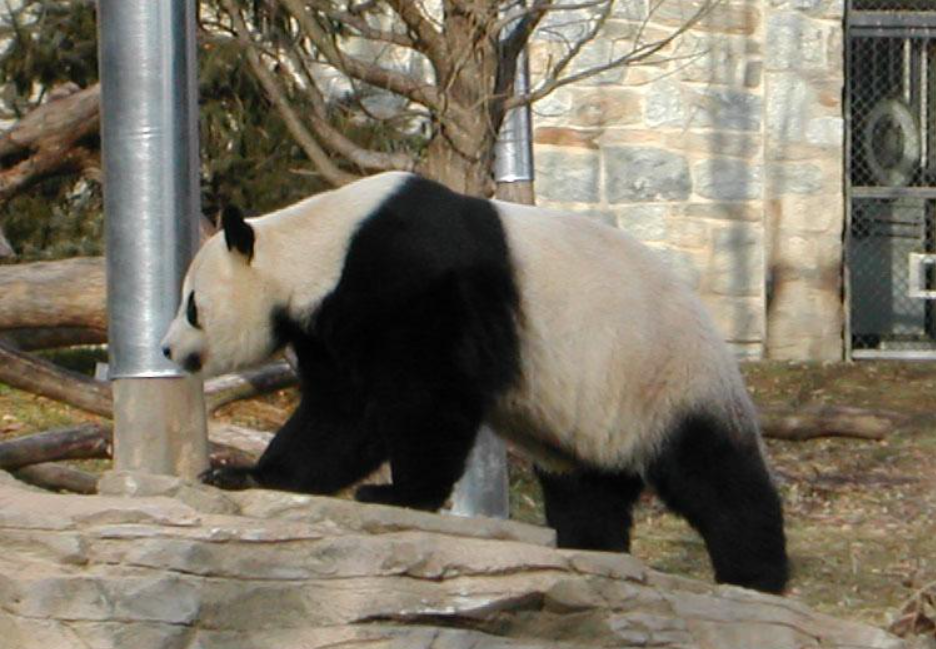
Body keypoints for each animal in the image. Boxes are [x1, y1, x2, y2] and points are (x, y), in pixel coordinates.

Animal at [163, 171, 788, 592]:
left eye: (192, 306)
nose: (167, 349)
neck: (319, 245)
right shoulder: (330, 317)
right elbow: (341, 413)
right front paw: (244, 475)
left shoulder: (413, 279)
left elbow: (424, 398)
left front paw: (397, 494)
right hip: (590, 417)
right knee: (587, 489)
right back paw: (592, 550)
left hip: (662, 375)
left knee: (717, 477)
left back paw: (753, 575)